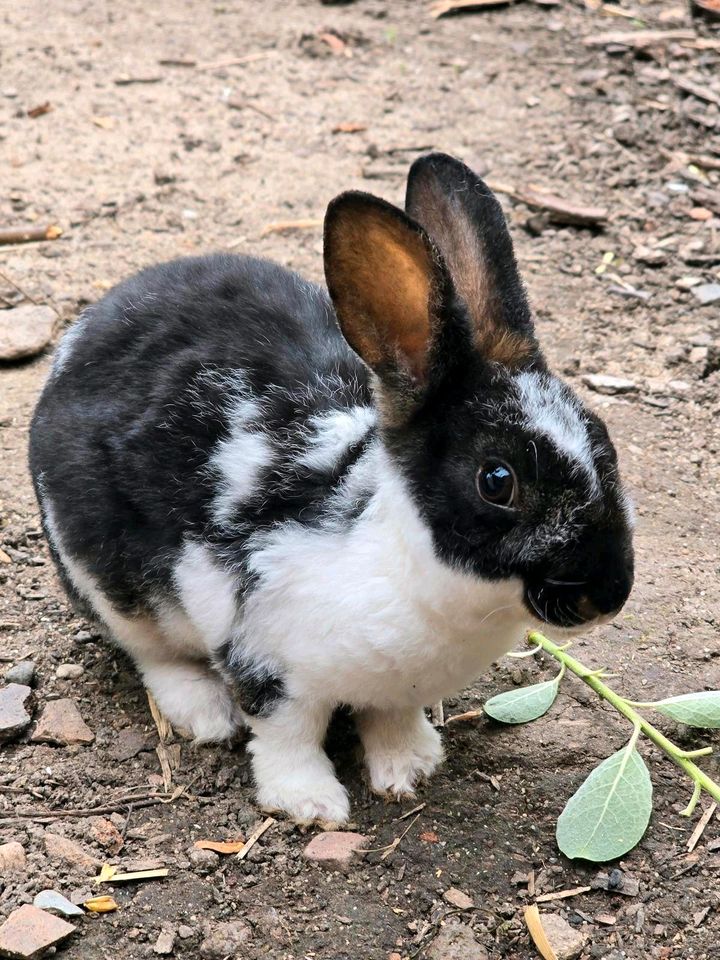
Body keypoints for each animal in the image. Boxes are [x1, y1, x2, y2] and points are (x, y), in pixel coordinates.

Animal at [29, 152, 636, 824]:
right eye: (496, 481)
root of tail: (84, 332)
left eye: (604, 440)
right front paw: (311, 803)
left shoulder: (396, 690)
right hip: (110, 583)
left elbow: (391, 719)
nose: (608, 594)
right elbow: (286, 735)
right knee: (150, 652)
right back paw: (205, 712)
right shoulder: (265, 657)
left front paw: (410, 768)